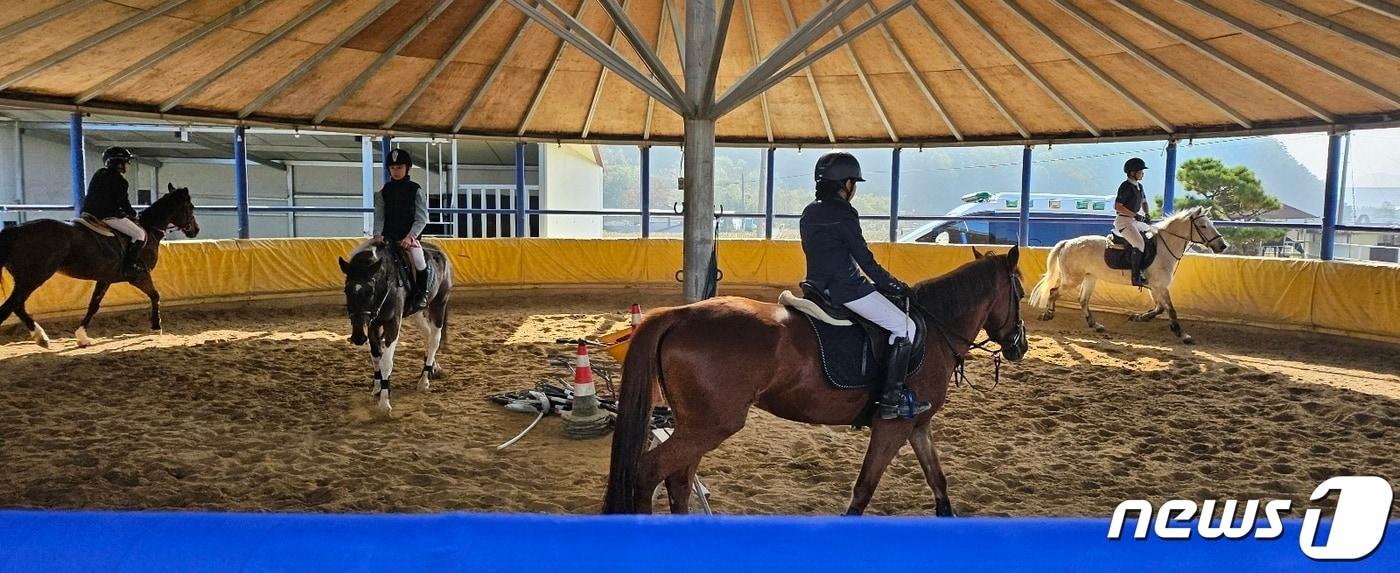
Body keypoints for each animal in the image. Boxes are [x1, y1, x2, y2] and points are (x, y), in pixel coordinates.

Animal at [0, 183, 200, 343]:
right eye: (190, 207)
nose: (195, 230)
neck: (149, 230)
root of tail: (16, 230)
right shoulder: (139, 276)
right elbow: (156, 295)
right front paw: (156, 327)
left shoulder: (106, 279)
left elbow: (93, 305)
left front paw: (82, 336)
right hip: (33, 278)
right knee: (11, 307)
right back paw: (41, 337)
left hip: (26, 280)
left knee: (16, 306)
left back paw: (40, 337)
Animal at [336, 243, 450, 411]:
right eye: (346, 290)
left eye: (370, 291)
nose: (358, 337)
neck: (386, 285)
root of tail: (440, 252)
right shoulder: (372, 325)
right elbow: (376, 357)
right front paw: (378, 388)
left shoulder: (392, 323)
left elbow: (386, 362)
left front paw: (384, 403)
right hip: (417, 312)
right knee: (428, 335)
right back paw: (433, 367)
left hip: (439, 304)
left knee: (434, 339)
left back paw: (424, 380)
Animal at [602, 247, 1030, 515]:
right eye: (1021, 292)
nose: (1020, 345)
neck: (936, 328)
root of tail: (680, 314)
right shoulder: (892, 426)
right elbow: (863, 489)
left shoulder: (916, 425)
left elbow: (938, 481)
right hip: (711, 424)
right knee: (650, 471)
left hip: (695, 423)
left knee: (678, 477)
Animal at [1030, 205, 1226, 343]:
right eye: (1203, 226)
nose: (1222, 246)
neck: (1163, 249)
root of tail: (1067, 243)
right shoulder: (1160, 286)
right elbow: (1170, 310)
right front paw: (1183, 334)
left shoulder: (1156, 287)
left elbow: (1160, 308)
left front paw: (1139, 317)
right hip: (1073, 279)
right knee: (1054, 292)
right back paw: (1048, 314)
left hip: (1090, 277)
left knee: (1082, 300)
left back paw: (1095, 324)